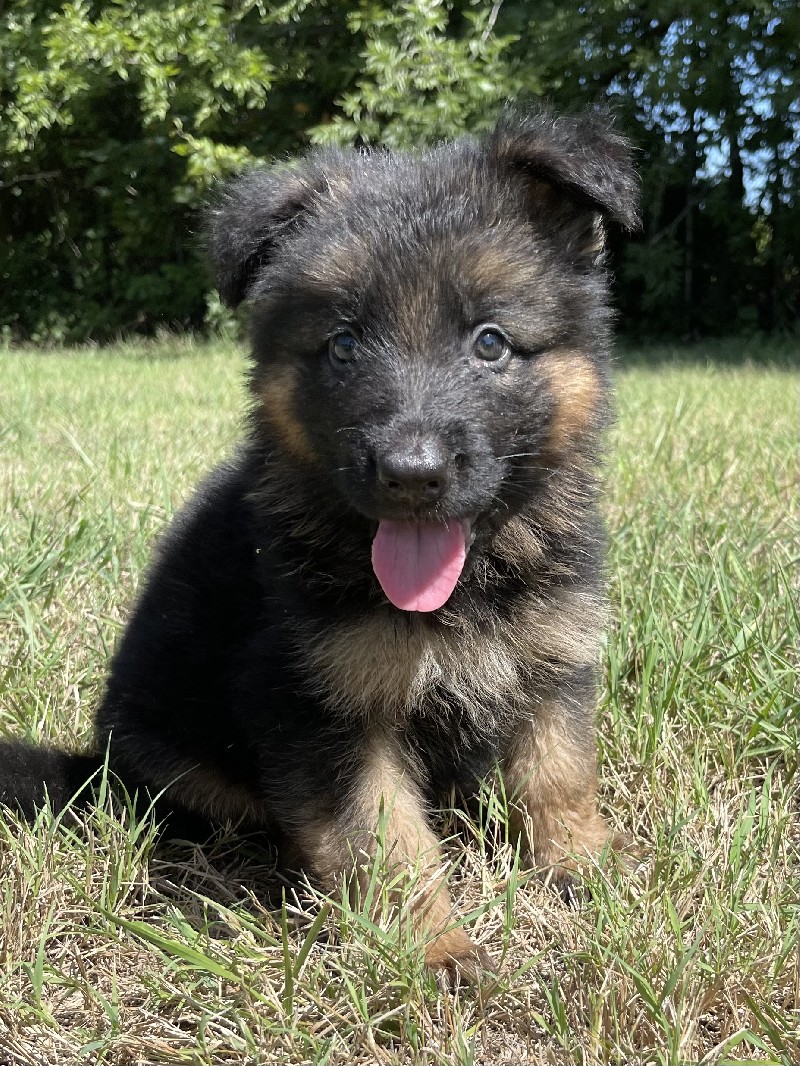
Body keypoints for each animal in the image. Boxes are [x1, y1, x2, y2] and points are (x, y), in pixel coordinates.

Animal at [0, 106, 640, 976]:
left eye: (491, 342)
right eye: (344, 344)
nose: (410, 474)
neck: (468, 581)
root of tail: (94, 766)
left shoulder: (550, 657)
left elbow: (559, 772)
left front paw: (584, 868)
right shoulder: (319, 707)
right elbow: (386, 836)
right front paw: (432, 948)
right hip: (177, 760)